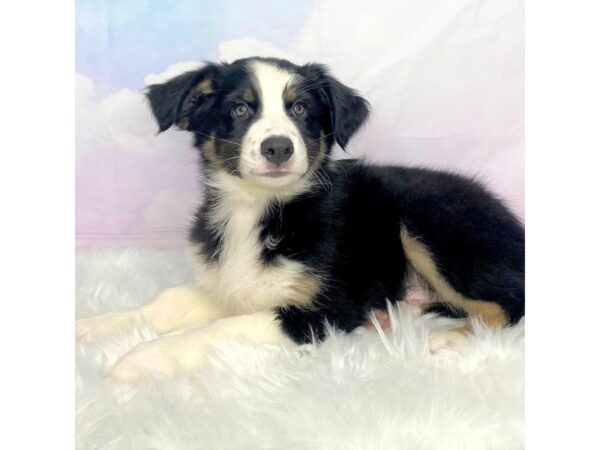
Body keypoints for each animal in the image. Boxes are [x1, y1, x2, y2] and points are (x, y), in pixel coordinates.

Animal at [76, 54, 524, 382]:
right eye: (240, 109)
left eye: (300, 108)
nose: (278, 147)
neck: (260, 210)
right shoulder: (229, 281)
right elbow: (165, 303)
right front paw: (93, 328)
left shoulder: (325, 309)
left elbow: (217, 330)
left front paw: (143, 358)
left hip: (431, 225)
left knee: (510, 303)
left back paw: (452, 342)